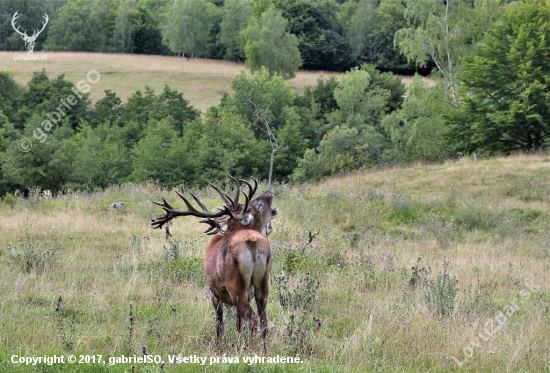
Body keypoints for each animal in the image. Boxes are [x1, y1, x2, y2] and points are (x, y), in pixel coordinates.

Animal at [151, 176, 278, 354]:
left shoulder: (214, 293)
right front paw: (238, 347)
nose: (269, 192)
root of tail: (251, 240)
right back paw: (264, 354)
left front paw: (218, 350)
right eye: (257, 204)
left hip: (236, 287)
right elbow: (238, 326)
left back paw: (252, 353)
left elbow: (220, 325)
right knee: (264, 322)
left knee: (252, 320)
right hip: (263, 284)